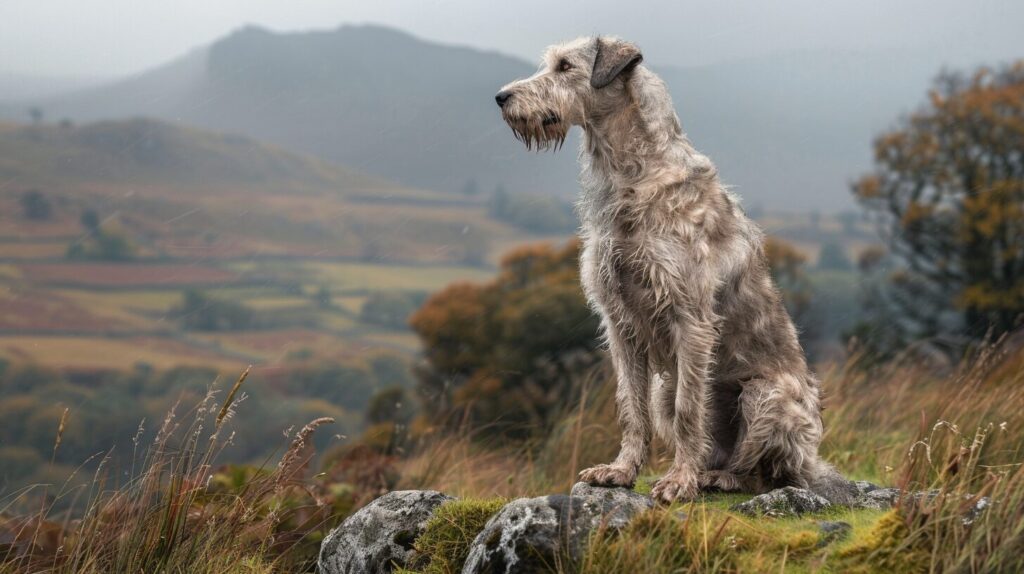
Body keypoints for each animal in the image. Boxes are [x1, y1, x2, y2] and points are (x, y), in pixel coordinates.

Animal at [491, 35, 851, 501]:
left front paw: (679, 480)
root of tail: (814, 461)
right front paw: (622, 470)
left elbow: (688, 410)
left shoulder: (690, 317)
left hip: (765, 395)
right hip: (667, 386)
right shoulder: (619, 323)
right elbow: (631, 407)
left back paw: (719, 477)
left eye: (565, 66)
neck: (630, 174)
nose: (501, 97)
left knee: (766, 471)